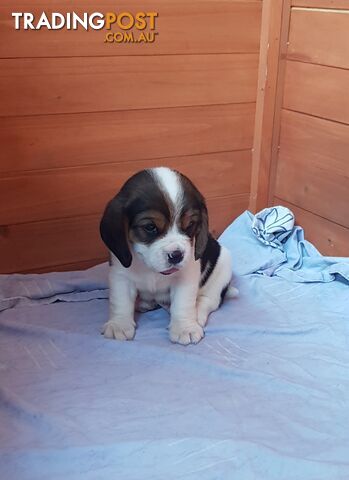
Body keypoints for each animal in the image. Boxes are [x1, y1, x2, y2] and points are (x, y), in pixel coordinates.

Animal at [99, 167, 238, 344]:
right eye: (150, 227)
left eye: (190, 225)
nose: (176, 255)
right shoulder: (120, 275)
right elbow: (120, 301)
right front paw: (119, 325)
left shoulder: (186, 278)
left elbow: (183, 304)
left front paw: (185, 328)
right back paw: (145, 303)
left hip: (223, 266)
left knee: (209, 300)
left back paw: (197, 314)